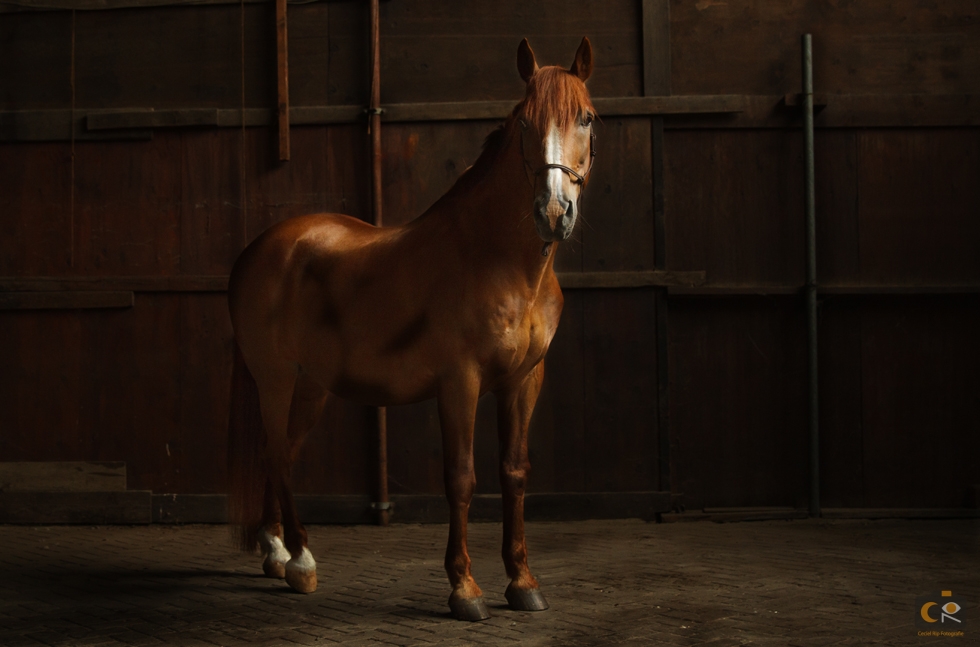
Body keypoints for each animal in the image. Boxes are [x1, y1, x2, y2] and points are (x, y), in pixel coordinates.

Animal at [230, 36, 596, 624]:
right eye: (525, 122)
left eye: (586, 118)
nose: (554, 210)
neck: (503, 262)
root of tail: (260, 249)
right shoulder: (460, 382)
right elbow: (462, 477)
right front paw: (464, 588)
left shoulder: (524, 382)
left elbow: (514, 472)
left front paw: (522, 581)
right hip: (275, 379)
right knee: (281, 456)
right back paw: (302, 562)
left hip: (310, 387)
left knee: (276, 449)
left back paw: (276, 551)